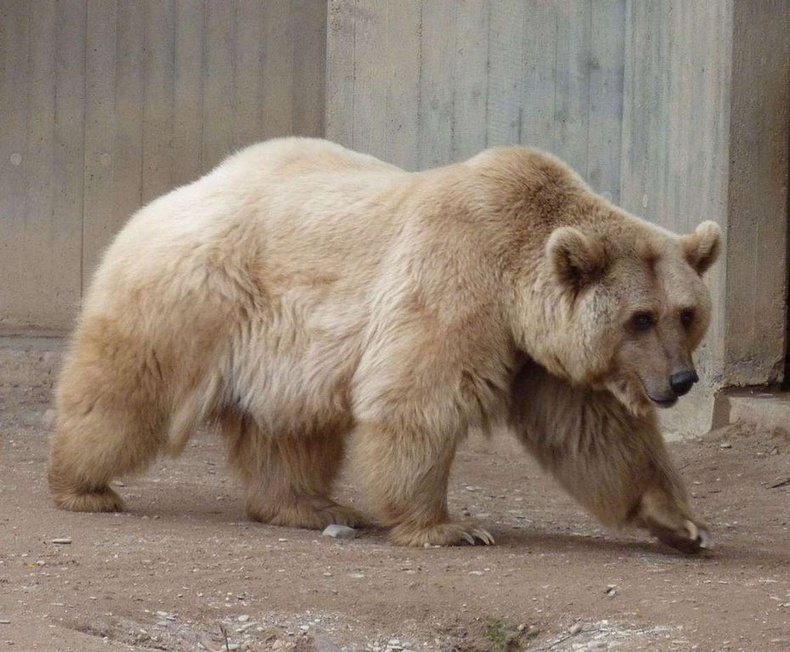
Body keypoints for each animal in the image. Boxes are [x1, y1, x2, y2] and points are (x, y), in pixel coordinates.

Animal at [46, 136, 720, 552]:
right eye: (640, 318)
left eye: (686, 314)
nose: (681, 380)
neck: (516, 281)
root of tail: (165, 198)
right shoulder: (457, 282)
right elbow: (419, 399)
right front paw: (450, 527)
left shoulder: (538, 354)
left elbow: (593, 432)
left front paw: (682, 523)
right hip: (195, 297)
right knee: (127, 391)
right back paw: (82, 485)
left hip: (283, 349)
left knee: (289, 429)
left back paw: (311, 505)